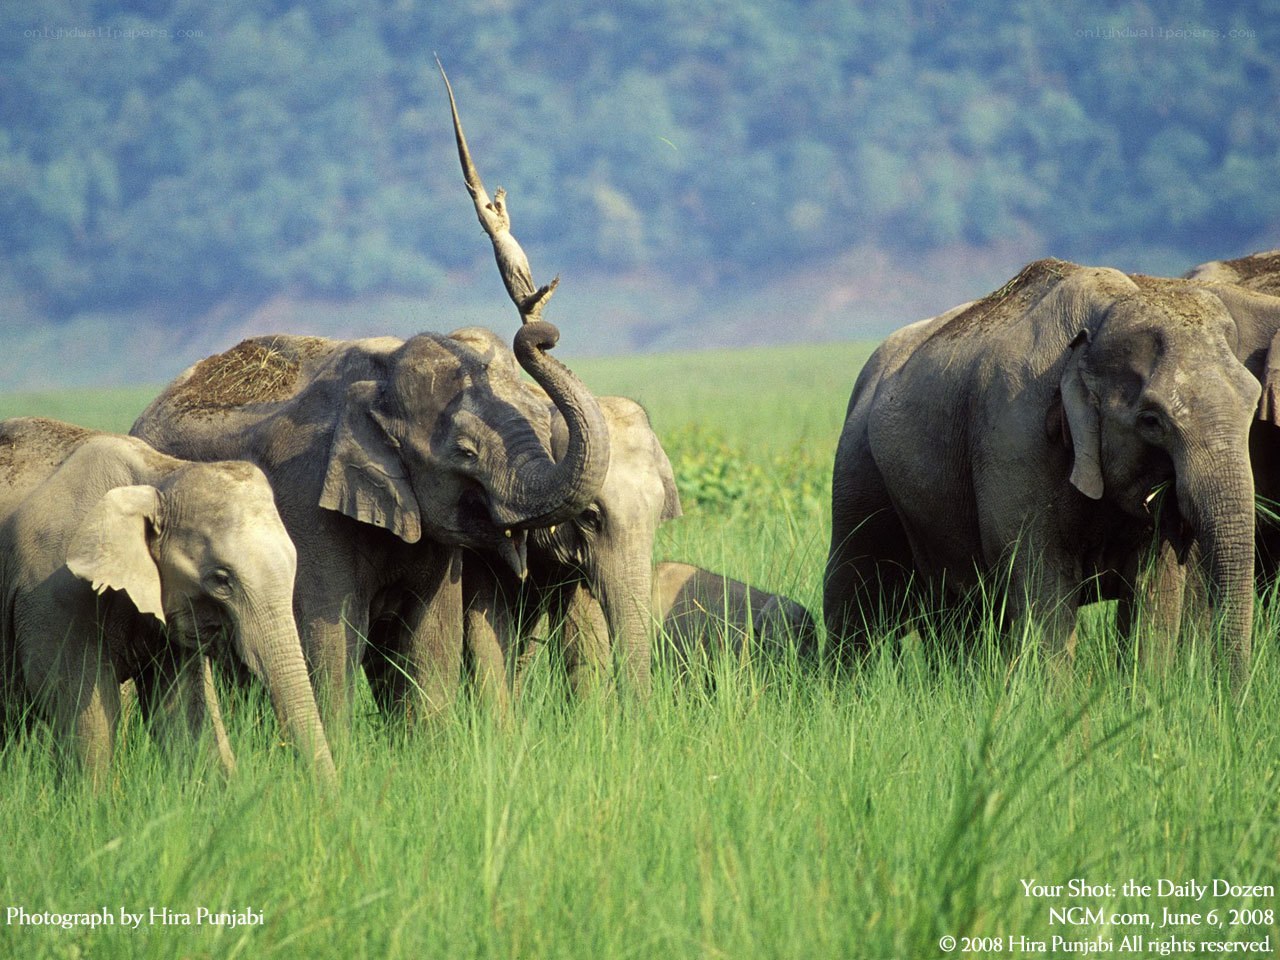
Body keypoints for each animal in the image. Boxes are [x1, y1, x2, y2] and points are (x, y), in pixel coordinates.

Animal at [0, 418, 335, 788]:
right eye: (221, 579)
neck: (158, 478)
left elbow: (184, 712)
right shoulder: (55, 594)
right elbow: (84, 710)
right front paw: (91, 801)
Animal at [131, 323, 609, 727]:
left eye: (542, 422)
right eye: (465, 452)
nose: (545, 334)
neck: (382, 376)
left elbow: (431, 639)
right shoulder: (307, 499)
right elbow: (331, 638)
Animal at [824, 258, 1272, 686]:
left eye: (1253, 406)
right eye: (1151, 420)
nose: (1229, 696)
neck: (1103, 316)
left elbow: (1154, 591)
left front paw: (1145, 694)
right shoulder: (1014, 436)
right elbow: (1043, 585)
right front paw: (1053, 703)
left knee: (955, 613)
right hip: (859, 463)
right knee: (856, 587)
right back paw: (842, 692)